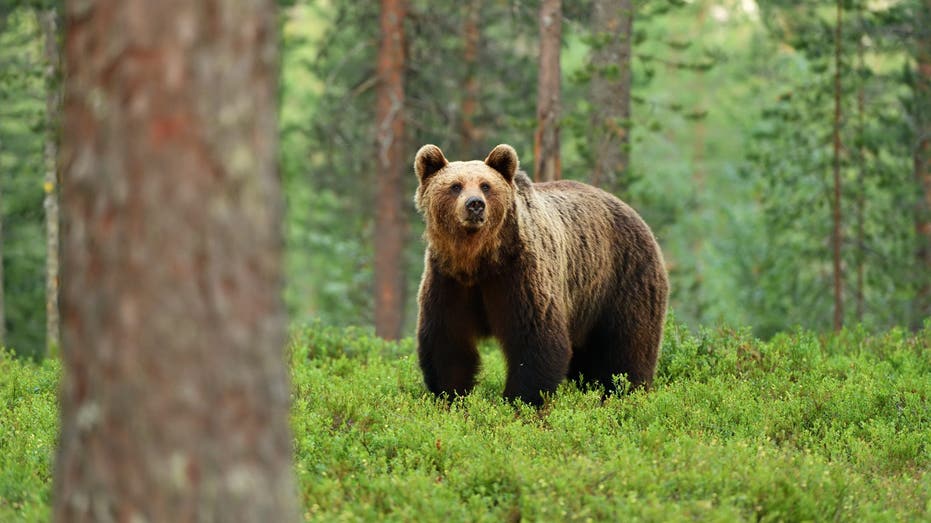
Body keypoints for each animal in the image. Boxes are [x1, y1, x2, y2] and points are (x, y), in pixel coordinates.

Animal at [413, 143, 668, 405]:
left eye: (486, 185)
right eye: (455, 186)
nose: (475, 204)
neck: (479, 260)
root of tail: (634, 213)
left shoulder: (519, 275)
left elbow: (535, 341)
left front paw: (519, 400)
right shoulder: (448, 281)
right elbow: (448, 343)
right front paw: (451, 396)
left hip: (623, 278)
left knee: (628, 346)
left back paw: (625, 392)